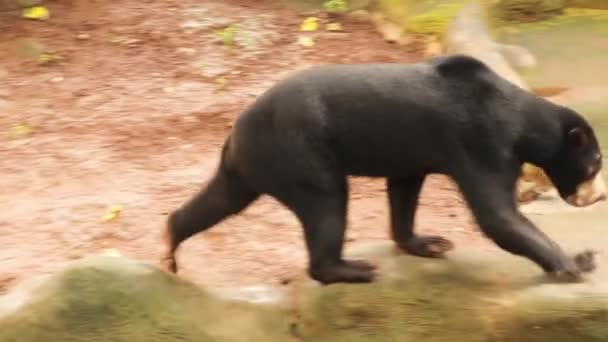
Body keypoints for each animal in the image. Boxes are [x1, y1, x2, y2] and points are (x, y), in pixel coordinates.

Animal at [160, 55, 604, 284]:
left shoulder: (416, 150)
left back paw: (169, 247)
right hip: (300, 152)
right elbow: (497, 214)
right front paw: (577, 262)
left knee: (219, 199)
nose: (598, 197)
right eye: (596, 163)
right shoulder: (481, 141)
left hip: (252, 166)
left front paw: (429, 242)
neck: (517, 117)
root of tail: (236, 133)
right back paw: (353, 269)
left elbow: (404, 189)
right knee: (327, 203)